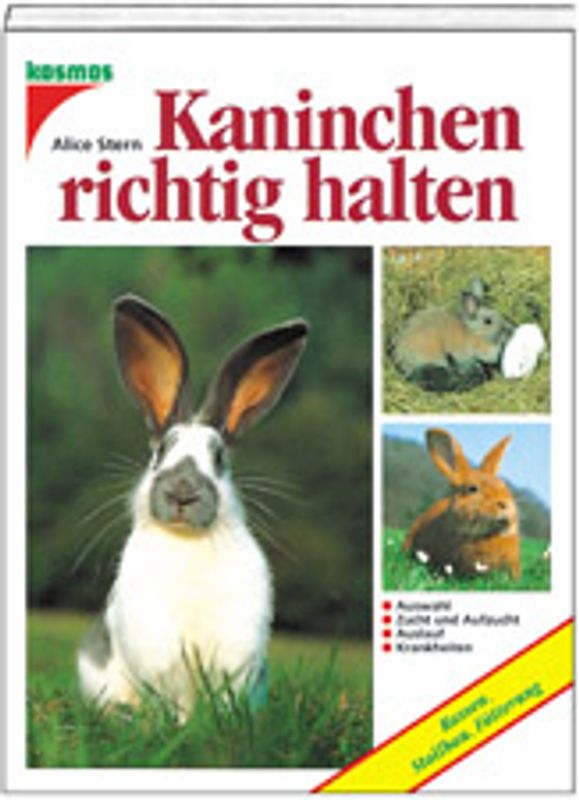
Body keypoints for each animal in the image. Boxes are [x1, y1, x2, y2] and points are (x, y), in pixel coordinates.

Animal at [78, 295, 308, 720]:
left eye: (219, 458)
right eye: (159, 454)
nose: (182, 492)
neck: (188, 542)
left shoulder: (236, 659)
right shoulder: (157, 657)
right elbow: (169, 701)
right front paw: (177, 726)